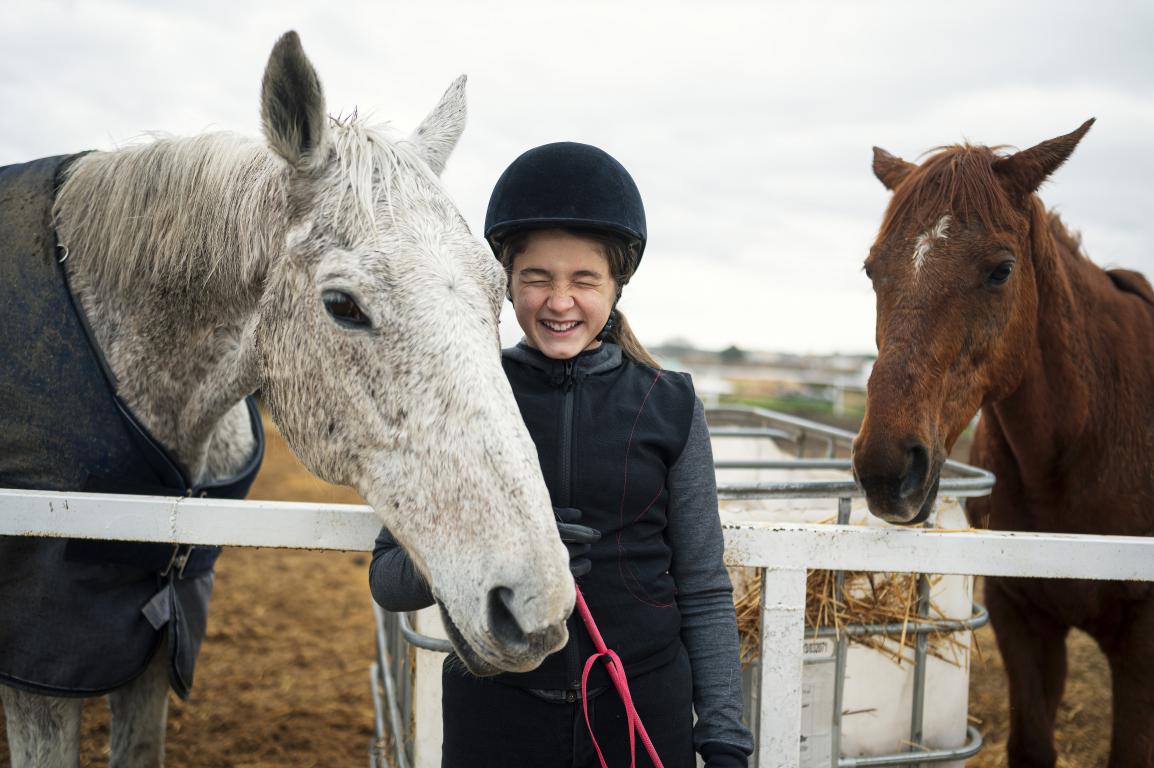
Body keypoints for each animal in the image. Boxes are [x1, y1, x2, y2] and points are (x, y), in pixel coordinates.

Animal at [850, 120, 1154, 766]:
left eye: (1001, 270)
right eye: (871, 269)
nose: (887, 469)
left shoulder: (1142, 641)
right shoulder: (1022, 618)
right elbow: (1031, 745)